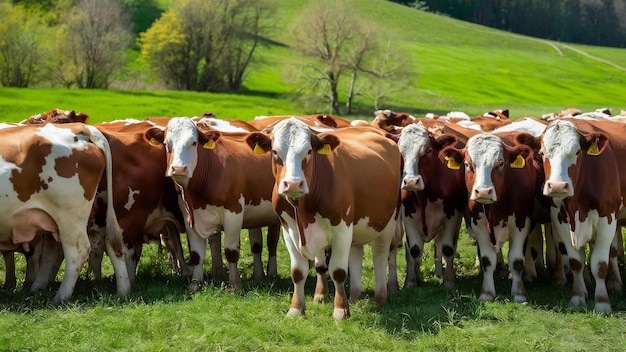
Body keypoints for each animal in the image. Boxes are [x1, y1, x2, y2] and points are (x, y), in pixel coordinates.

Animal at [148, 117, 278, 290]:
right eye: (167, 144)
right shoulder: (189, 217)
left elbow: (231, 251)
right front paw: (195, 284)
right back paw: (259, 275)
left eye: (194, 142)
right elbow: (196, 254)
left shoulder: (233, 212)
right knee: (256, 243)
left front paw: (234, 285)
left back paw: (272, 273)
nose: (178, 169)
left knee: (272, 242)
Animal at [250, 117, 400, 320]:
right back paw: (354, 296)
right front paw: (296, 308)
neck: (302, 207)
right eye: (275, 151)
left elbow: (338, 271)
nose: (293, 184)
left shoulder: (342, 230)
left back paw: (380, 297)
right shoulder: (289, 230)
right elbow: (299, 272)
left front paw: (340, 310)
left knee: (380, 257)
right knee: (356, 254)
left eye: (308, 151)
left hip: (387, 222)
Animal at [536, 119, 624, 312]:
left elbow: (600, 264)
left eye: (577, 152)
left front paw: (602, 302)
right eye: (542, 153)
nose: (557, 186)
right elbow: (576, 261)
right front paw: (577, 297)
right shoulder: (561, 220)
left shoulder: (607, 219)